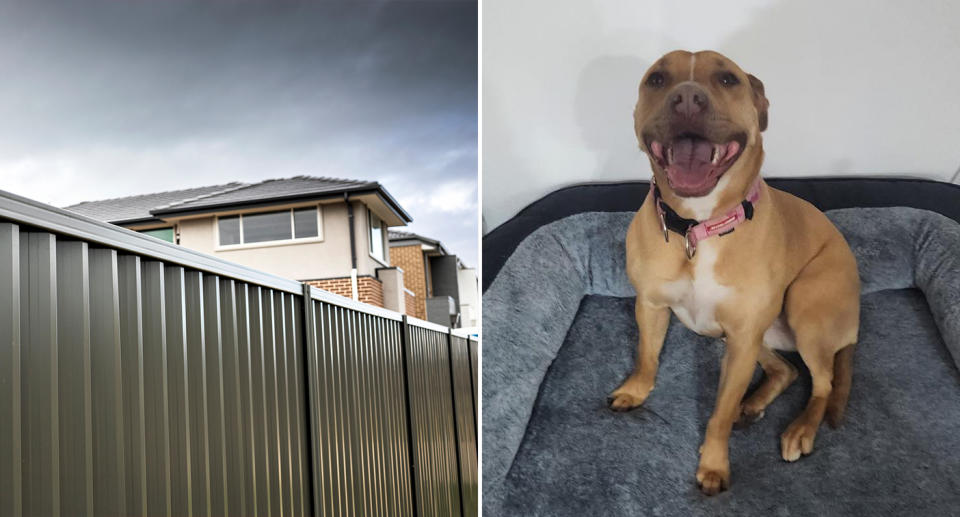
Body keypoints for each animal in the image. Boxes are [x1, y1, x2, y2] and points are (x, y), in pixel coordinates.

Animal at [612, 49, 860, 496]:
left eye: (727, 79)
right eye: (657, 79)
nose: (687, 98)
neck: (699, 227)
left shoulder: (743, 341)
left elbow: (719, 415)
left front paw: (713, 465)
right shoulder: (652, 306)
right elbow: (646, 356)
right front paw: (636, 390)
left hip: (804, 310)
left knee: (824, 382)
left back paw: (800, 429)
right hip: (746, 334)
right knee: (786, 370)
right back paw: (754, 404)